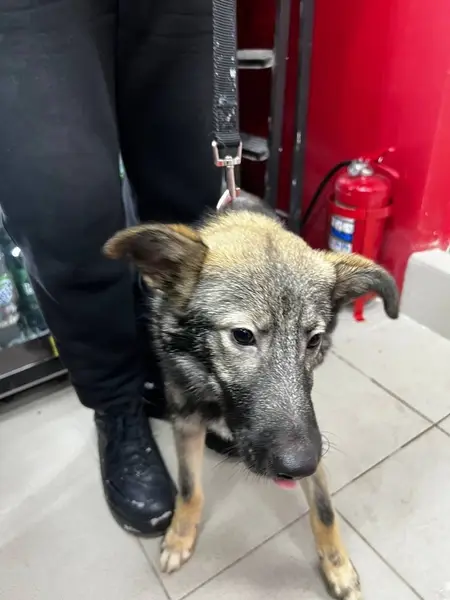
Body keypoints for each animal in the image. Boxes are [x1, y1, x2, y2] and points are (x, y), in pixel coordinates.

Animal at [104, 195, 399, 600]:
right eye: (242, 335)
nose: (299, 466)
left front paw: (337, 567)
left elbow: (324, 510)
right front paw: (180, 537)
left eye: (314, 340)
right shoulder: (187, 422)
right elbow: (189, 489)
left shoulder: (311, 437)